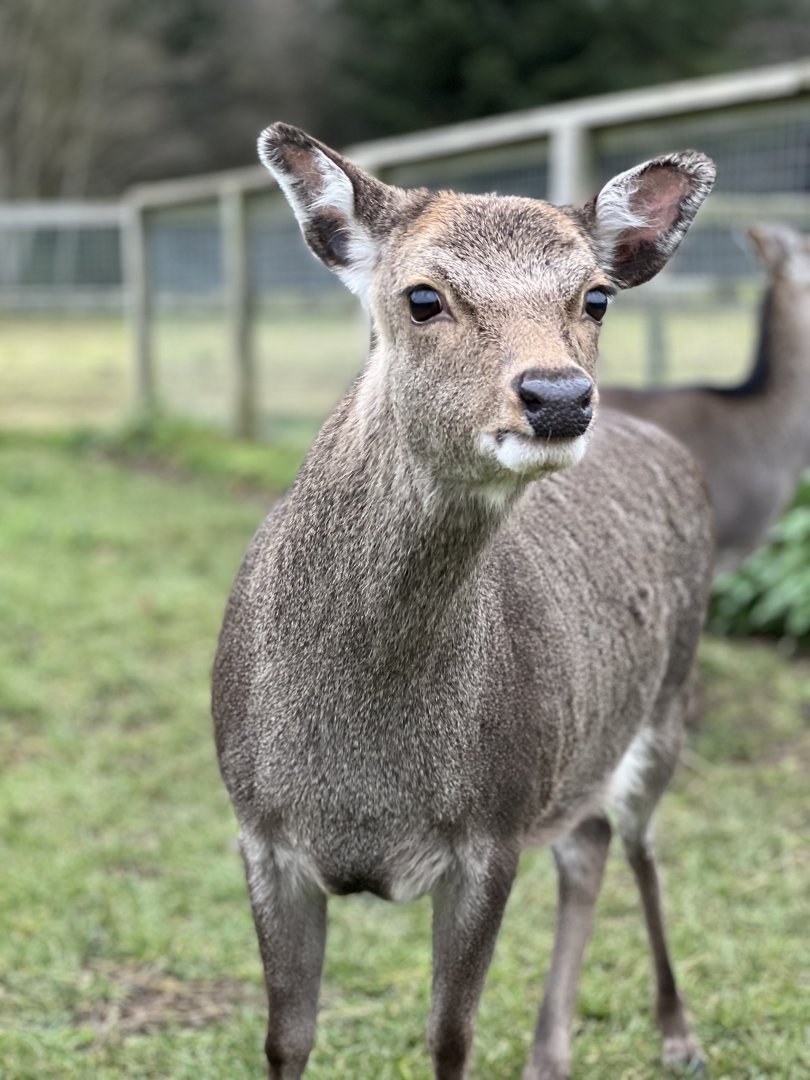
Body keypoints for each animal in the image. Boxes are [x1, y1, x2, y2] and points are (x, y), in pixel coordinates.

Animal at [212, 123, 716, 1080]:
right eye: (423, 297)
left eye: (596, 297)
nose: (559, 396)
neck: (363, 776)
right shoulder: (259, 828)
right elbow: (284, 1038)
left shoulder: (493, 826)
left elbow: (451, 1037)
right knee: (588, 845)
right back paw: (550, 1054)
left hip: (666, 700)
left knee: (636, 841)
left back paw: (678, 1032)